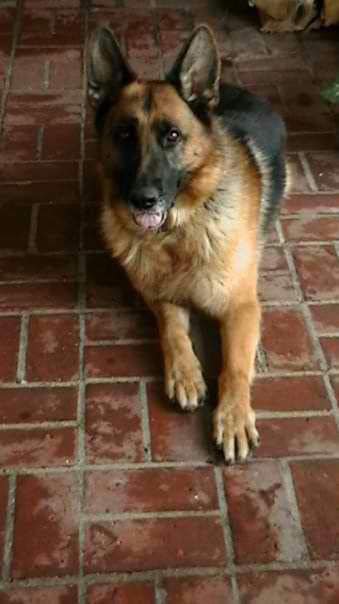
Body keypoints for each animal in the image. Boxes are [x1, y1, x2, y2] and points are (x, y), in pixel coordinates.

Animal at [87, 24, 290, 462]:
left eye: (173, 136)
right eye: (124, 134)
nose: (143, 199)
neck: (178, 234)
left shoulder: (242, 307)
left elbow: (234, 367)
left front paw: (233, 417)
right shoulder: (160, 295)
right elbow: (173, 331)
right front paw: (186, 374)